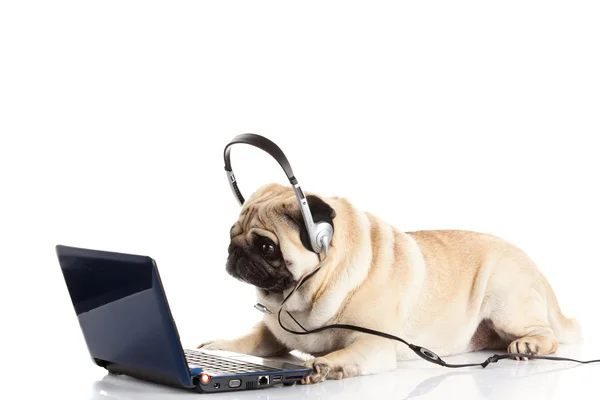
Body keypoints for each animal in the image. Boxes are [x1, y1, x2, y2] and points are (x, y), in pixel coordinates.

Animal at [198, 183, 580, 382]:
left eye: (267, 247)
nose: (235, 252)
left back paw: (528, 346)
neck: (302, 300)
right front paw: (217, 346)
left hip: (506, 301)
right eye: (231, 236)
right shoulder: (272, 332)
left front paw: (324, 366)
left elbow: (343, 353)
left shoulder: (373, 344)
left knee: (546, 334)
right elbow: (248, 340)